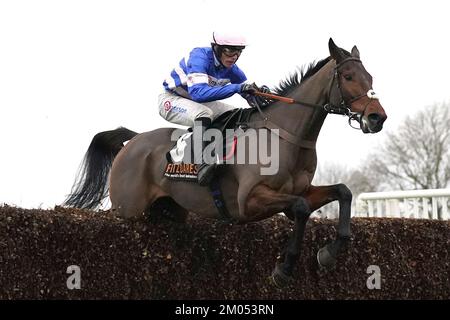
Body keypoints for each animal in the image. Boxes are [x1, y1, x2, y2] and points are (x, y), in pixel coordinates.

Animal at [64, 38, 386, 288]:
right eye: (348, 77)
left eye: (370, 77)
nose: (377, 118)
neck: (286, 136)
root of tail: (133, 141)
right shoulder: (250, 201)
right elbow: (301, 208)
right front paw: (283, 270)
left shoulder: (301, 190)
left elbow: (342, 192)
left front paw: (329, 253)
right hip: (127, 210)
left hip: (168, 211)